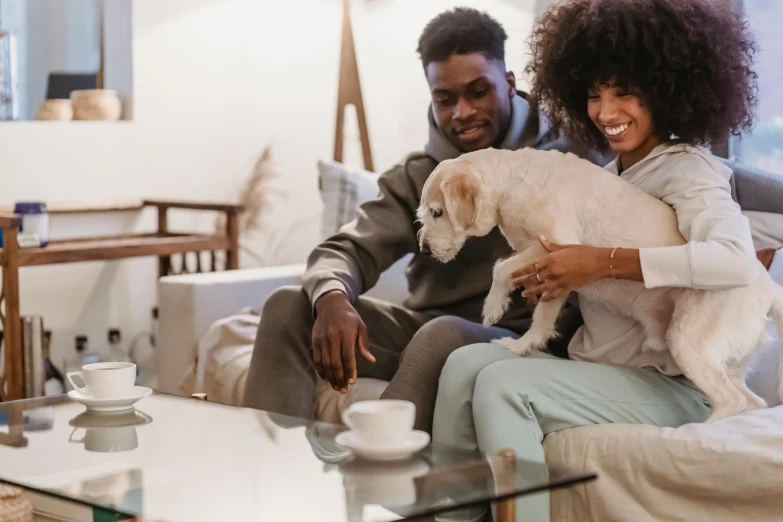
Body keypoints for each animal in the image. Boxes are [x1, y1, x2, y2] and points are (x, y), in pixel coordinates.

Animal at [420, 147, 783, 422]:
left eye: (437, 212)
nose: (423, 249)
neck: (516, 182)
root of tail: (768, 288)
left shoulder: (554, 251)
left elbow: (503, 272)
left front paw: (500, 316)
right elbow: (534, 307)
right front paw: (521, 339)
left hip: (689, 341)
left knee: (731, 401)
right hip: (729, 361)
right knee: (753, 403)